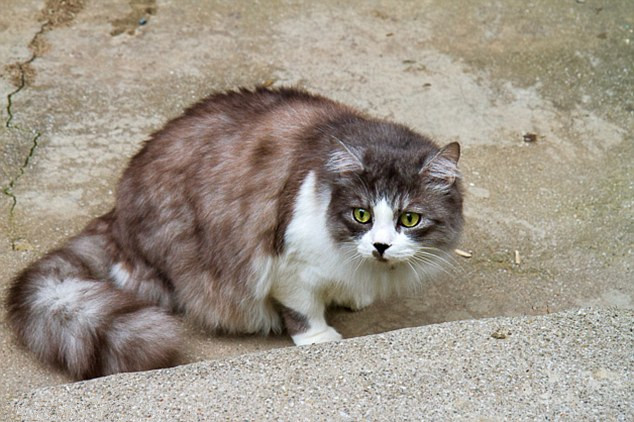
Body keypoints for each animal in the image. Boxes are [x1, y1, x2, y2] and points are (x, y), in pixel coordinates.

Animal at [3, 87, 460, 380]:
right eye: (362, 215)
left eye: (409, 220)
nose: (380, 246)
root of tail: (117, 209)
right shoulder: (288, 265)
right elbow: (302, 309)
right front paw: (319, 337)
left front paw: (351, 295)